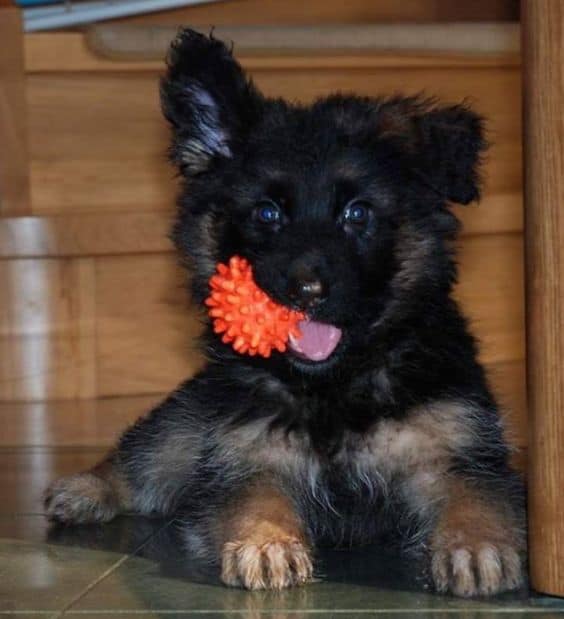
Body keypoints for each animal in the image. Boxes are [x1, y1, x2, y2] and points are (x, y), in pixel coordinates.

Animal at [44, 27, 524, 596]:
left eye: (356, 213)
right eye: (268, 213)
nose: (306, 291)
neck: (335, 386)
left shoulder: (453, 448)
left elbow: (476, 493)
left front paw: (475, 545)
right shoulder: (244, 453)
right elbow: (256, 495)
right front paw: (267, 541)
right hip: (187, 430)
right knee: (142, 457)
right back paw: (84, 488)